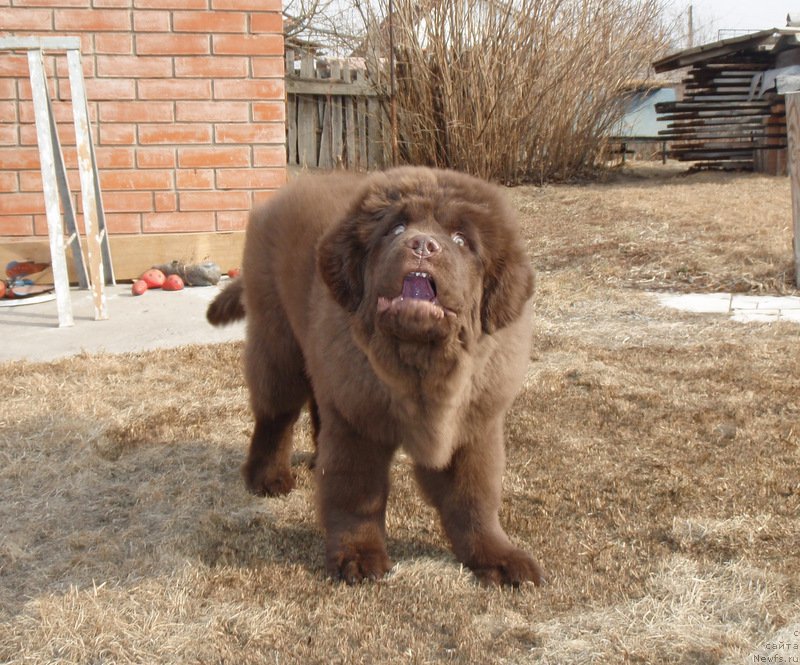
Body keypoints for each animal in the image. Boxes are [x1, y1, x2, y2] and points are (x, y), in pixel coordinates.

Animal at [208, 166, 544, 588]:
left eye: (461, 240)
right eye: (396, 228)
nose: (422, 245)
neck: (418, 366)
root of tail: (275, 200)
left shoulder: (471, 426)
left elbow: (473, 497)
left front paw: (498, 558)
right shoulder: (358, 424)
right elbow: (357, 494)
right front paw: (358, 557)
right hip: (278, 340)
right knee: (276, 414)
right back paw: (267, 478)